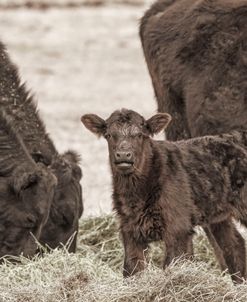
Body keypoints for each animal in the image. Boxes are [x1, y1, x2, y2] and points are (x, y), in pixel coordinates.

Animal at [81, 109, 247, 282]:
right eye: (108, 135)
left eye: (140, 135)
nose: (123, 155)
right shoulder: (129, 228)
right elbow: (132, 267)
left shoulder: (178, 227)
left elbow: (172, 262)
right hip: (218, 214)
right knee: (234, 245)